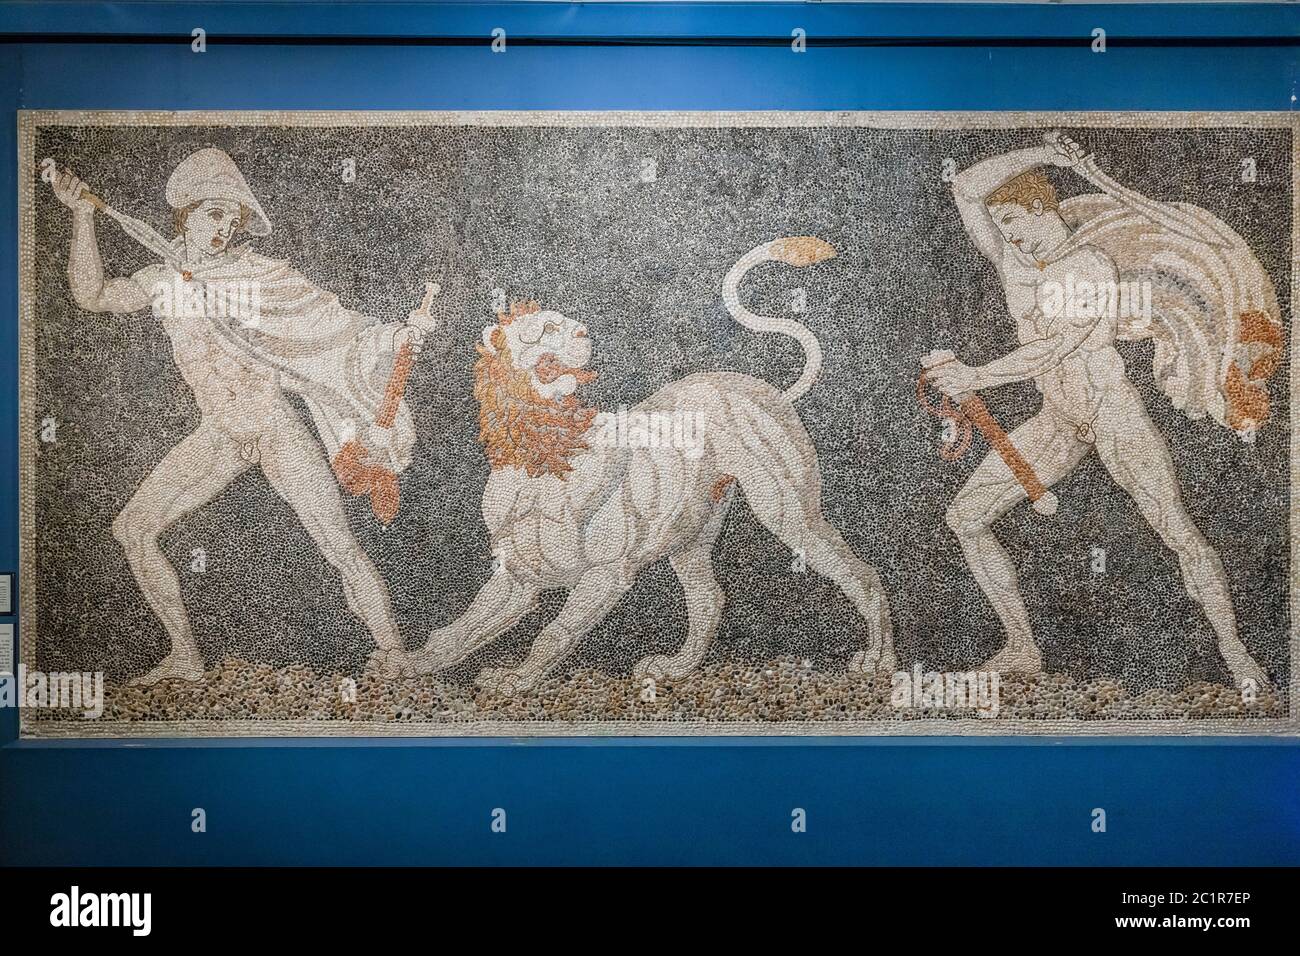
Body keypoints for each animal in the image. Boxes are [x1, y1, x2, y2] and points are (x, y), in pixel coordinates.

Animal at [384, 234, 894, 691]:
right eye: (543, 330)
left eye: (564, 323)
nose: (584, 332)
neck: (540, 459)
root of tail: (762, 388)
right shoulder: (517, 579)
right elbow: (459, 630)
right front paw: (411, 664)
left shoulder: (607, 572)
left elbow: (552, 633)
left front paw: (517, 680)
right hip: (689, 536)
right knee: (709, 600)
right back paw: (676, 669)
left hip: (786, 511)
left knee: (863, 574)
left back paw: (878, 662)